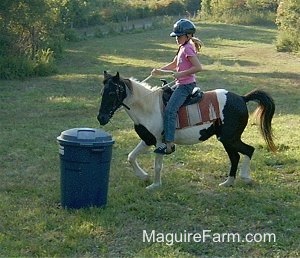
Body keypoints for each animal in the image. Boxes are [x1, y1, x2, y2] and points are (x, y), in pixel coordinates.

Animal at [97, 71, 276, 189]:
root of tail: (242, 98)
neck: (149, 107)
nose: (101, 118)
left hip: (230, 138)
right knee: (235, 157)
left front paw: (155, 185)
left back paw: (245, 178)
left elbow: (157, 165)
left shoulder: (160, 143)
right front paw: (144, 177)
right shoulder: (147, 140)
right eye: (102, 92)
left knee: (248, 150)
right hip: (226, 140)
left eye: (112, 92)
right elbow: (131, 157)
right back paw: (228, 182)